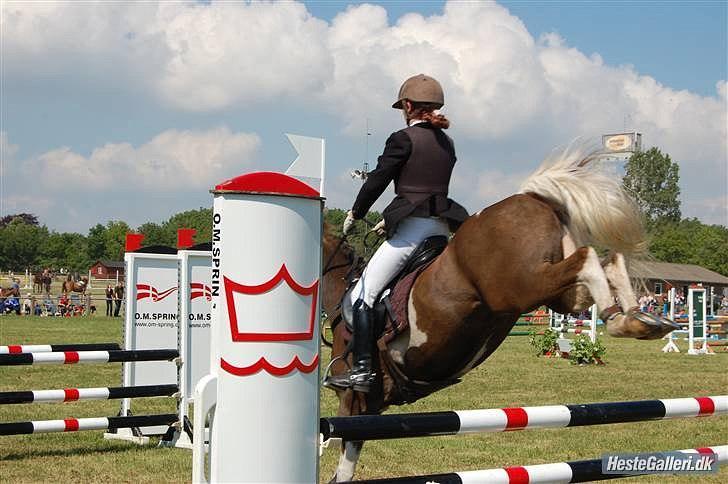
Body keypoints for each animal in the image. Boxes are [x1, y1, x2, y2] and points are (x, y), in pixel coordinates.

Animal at [321, 144, 680, 482]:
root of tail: (533, 198)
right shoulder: (373, 404)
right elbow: (350, 451)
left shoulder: (355, 397)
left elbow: (341, 448)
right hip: (559, 296)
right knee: (608, 263)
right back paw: (637, 320)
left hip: (526, 285)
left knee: (587, 258)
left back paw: (624, 321)